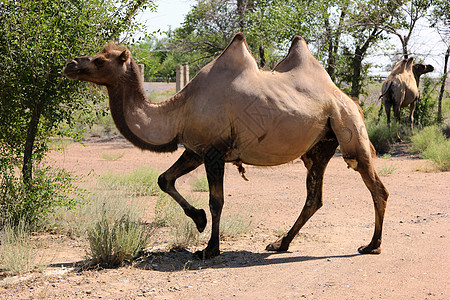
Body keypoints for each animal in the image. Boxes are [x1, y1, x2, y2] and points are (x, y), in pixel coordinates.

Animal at [64, 32, 390, 258]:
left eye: (100, 60)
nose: (70, 64)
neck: (178, 111)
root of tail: (348, 98)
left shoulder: (214, 151)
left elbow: (216, 200)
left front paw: (209, 249)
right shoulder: (195, 149)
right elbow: (164, 179)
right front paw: (198, 220)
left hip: (349, 128)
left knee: (376, 187)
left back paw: (372, 245)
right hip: (318, 146)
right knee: (314, 197)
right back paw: (280, 243)